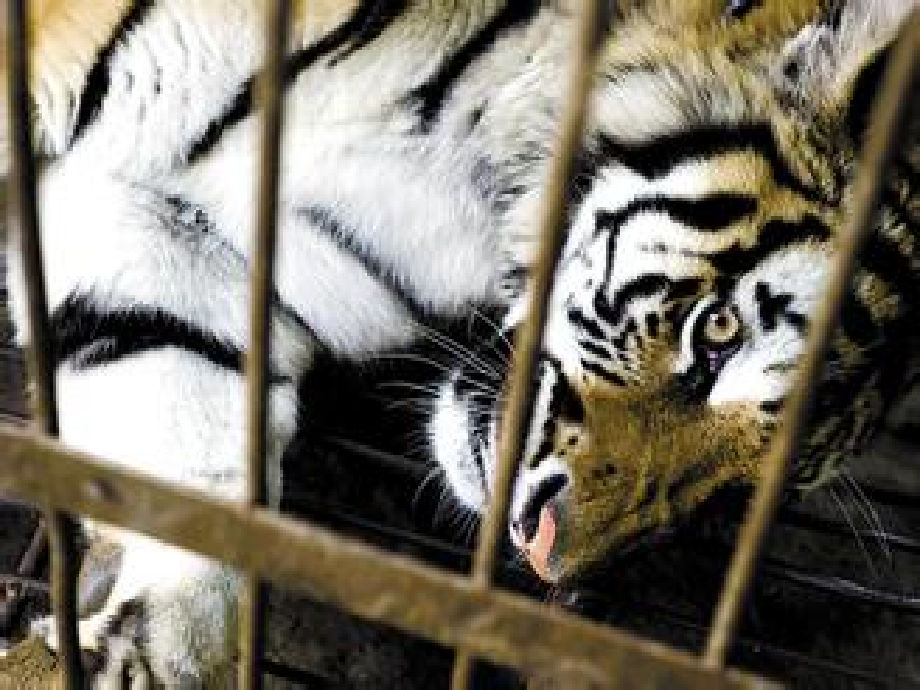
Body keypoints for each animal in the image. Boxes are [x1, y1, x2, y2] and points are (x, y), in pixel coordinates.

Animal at [1, 0, 914, 687]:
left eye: (735, 496)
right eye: (718, 333)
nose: (550, 558)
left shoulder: (176, 235)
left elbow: (196, 445)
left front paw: (142, 648)